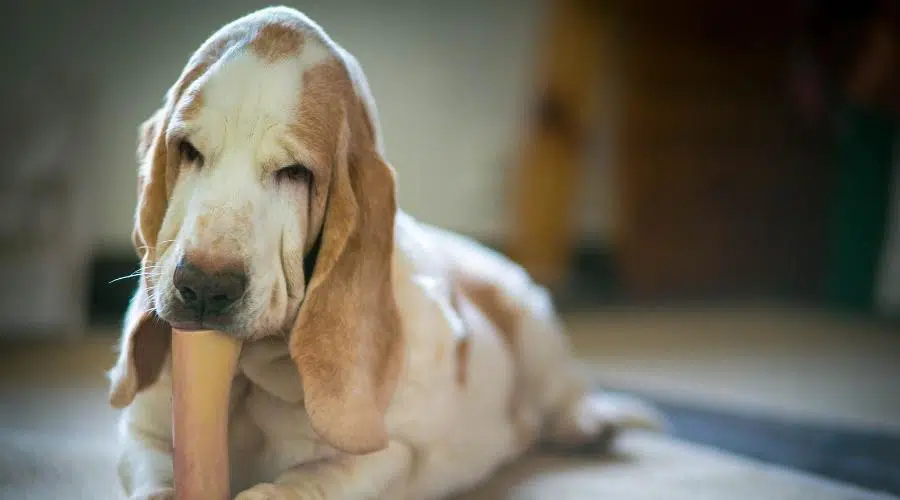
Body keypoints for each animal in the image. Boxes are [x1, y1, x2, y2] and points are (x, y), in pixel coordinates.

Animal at [109, 5, 660, 498]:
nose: (204, 286)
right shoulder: (142, 433)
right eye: (188, 150)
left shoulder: (391, 456)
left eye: (294, 172)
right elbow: (155, 478)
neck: (248, 376)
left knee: (565, 392)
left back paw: (590, 424)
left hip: (534, 321)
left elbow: (306, 482)